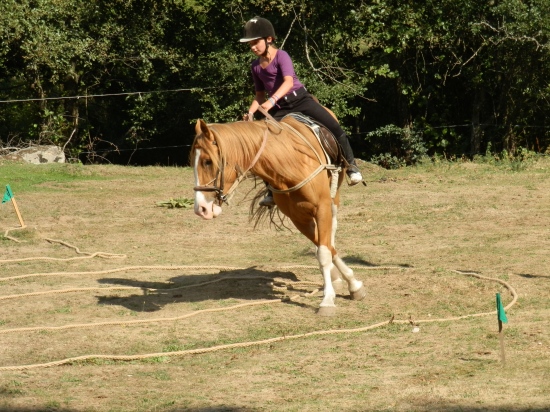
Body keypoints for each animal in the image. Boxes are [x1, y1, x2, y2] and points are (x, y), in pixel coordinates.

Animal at [190, 114, 366, 316]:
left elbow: (324, 250)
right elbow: (324, 249)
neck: (290, 163)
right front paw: (344, 282)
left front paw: (331, 298)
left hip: (334, 196)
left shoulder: (322, 208)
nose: (201, 208)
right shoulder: (298, 218)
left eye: (208, 161)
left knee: (332, 229)